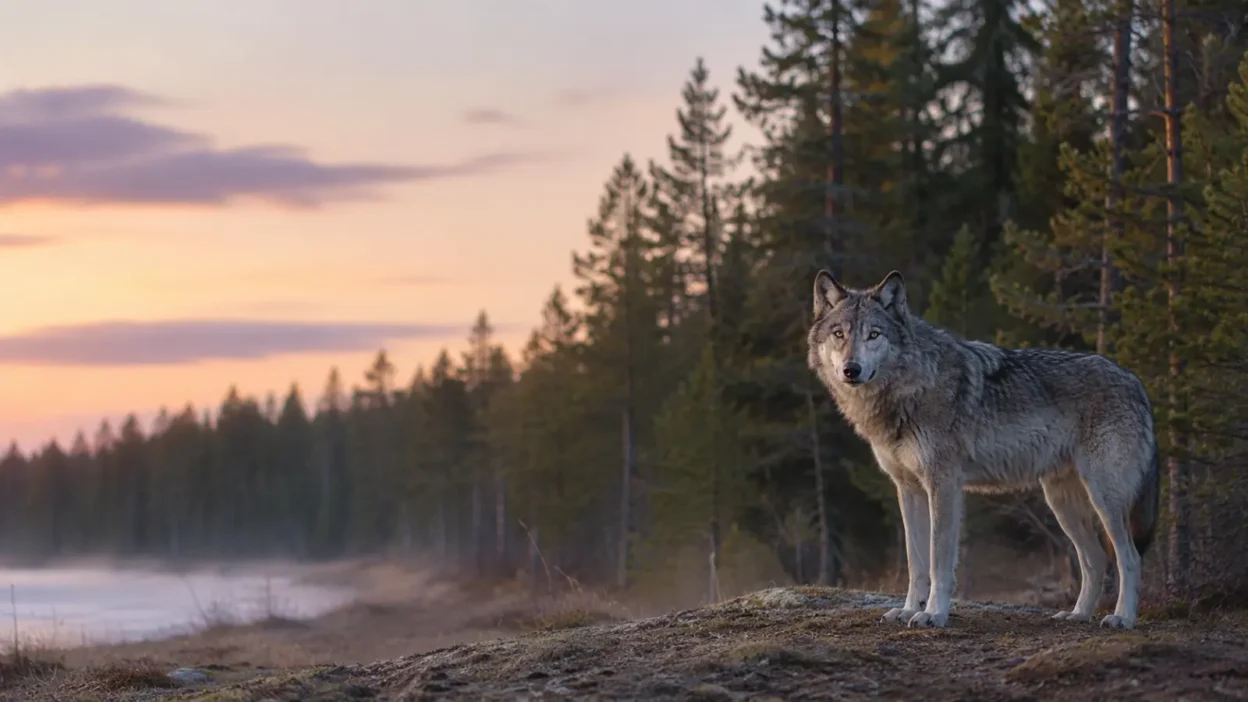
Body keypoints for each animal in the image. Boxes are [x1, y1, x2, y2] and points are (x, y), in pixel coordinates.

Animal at [806, 269, 1159, 630]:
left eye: (874, 334)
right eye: (839, 334)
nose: (851, 369)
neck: (909, 388)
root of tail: (1135, 382)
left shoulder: (944, 485)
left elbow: (938, 560)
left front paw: (933, 613)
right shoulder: (908, 489)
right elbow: (915, 563)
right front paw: (907, 610)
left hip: (1103, 497)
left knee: (1129, 557)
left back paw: (1122, 618)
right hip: (1062, 503)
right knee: (1096, 558)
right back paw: (1078, 614)